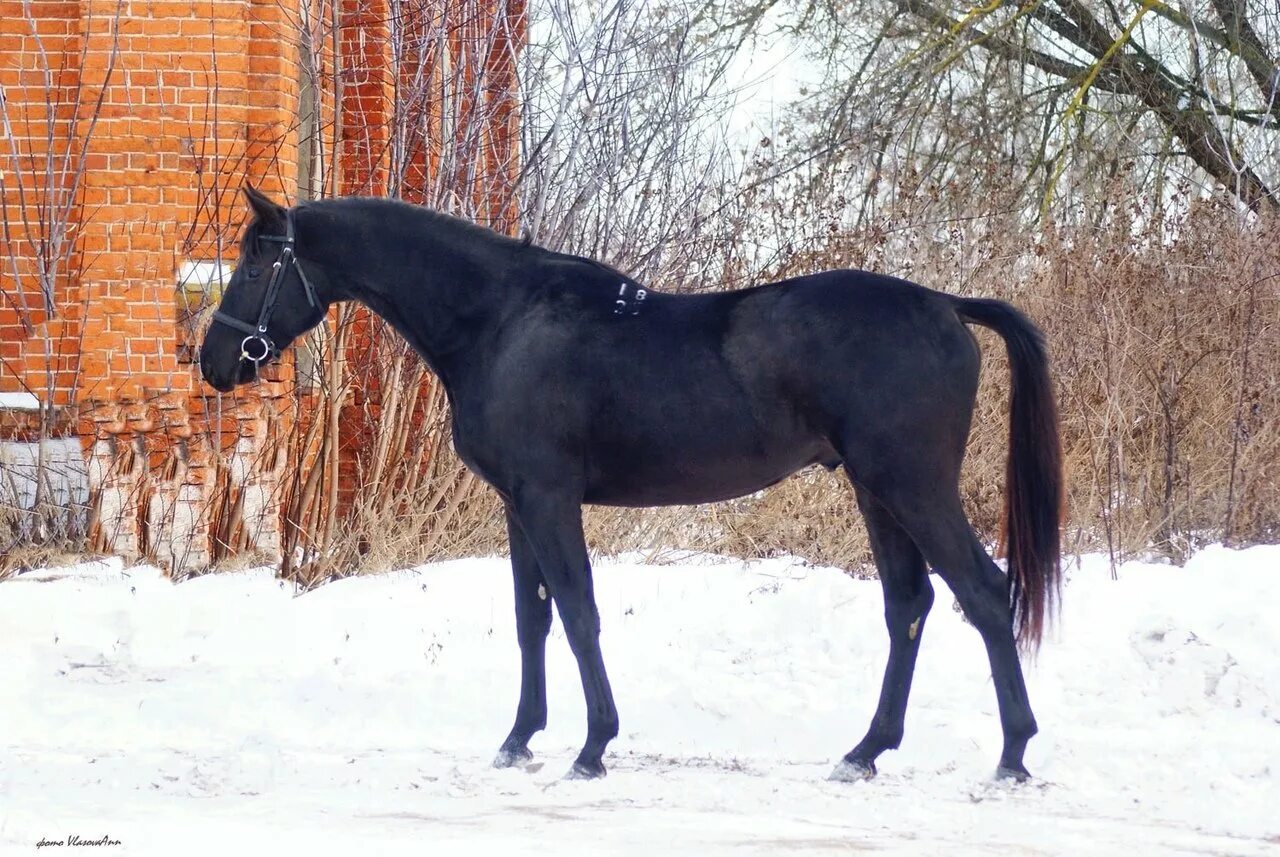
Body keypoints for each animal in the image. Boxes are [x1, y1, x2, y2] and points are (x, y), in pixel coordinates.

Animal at [199, 189, 1059, 787]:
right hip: (878, 492)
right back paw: (866, 750)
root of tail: (945, 306)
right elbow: (533, 619)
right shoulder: (518, 505)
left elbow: (579, 613)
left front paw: (592, 745)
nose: (211, 359)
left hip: (912, 485)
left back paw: (1014, 753)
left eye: (257, 260)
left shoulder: (548, 496)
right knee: (908, 606)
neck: (499, 321)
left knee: (984, 592)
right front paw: (519, 738)